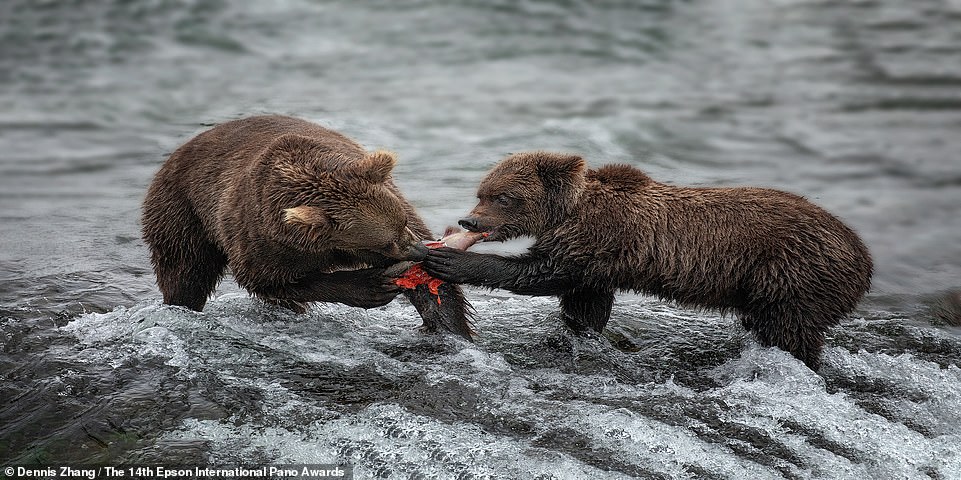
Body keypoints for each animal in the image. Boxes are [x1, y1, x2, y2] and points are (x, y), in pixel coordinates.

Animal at [142, 115, 472, 340]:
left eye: (402, 223)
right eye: (385, 242)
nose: (419, 251)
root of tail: (178, 152)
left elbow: (431, 289)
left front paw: (448, 325)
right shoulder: (264, 240)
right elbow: (271, 280)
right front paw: (372, 285)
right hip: (182, 211)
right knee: (186, 271)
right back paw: (181, 303)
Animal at [424, 152, 872, 370]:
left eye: (503, 196)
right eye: (481, 192)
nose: (470, 220)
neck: (567, 212)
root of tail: (864, 259)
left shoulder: (596, 236)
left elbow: (541, 273)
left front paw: (448, 259)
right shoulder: (597, 261)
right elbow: (585, 303)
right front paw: (576, 333)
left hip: (793, 273)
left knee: (791, 333)